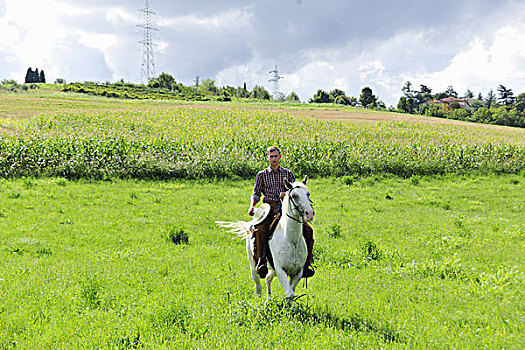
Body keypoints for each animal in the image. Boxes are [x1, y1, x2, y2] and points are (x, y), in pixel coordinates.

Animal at [216, 176, 314, 308]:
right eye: (294, 196)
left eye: (308, 194)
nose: (310, 213)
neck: (291, 240)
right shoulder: (281, 270)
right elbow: (290, 294)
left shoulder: (298, 272)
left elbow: (291, 293)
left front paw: (292, 309)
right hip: (254, 266)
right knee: (258, 287)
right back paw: (259, 304)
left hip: (272, 269)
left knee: (268, 279)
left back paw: (269, 300)